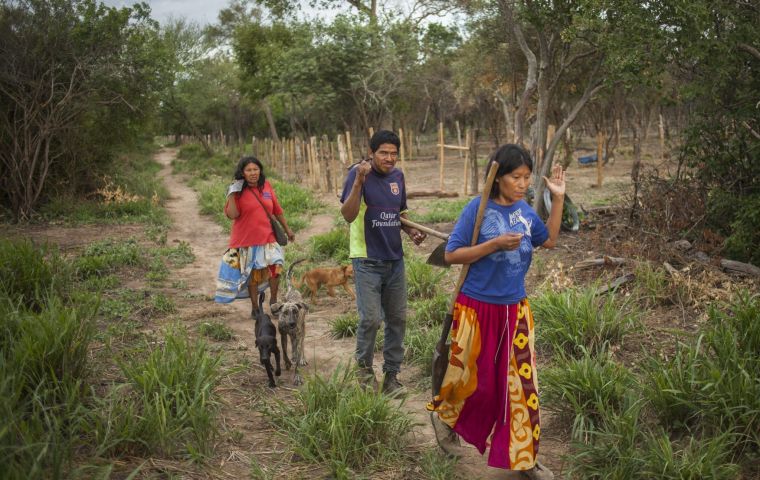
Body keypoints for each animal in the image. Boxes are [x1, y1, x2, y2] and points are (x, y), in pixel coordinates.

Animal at [274, 258, 308, 386]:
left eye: (295, 311)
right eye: (285, 312)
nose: (292, 323)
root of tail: (292, 289)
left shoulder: (297, 334)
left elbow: (297, 356)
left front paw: (297, 377)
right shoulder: (283, 335)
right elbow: (284, 351)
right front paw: (287, 362)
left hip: (302, 330)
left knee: (301, 345)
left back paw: (301, 358)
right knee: (293, 345)